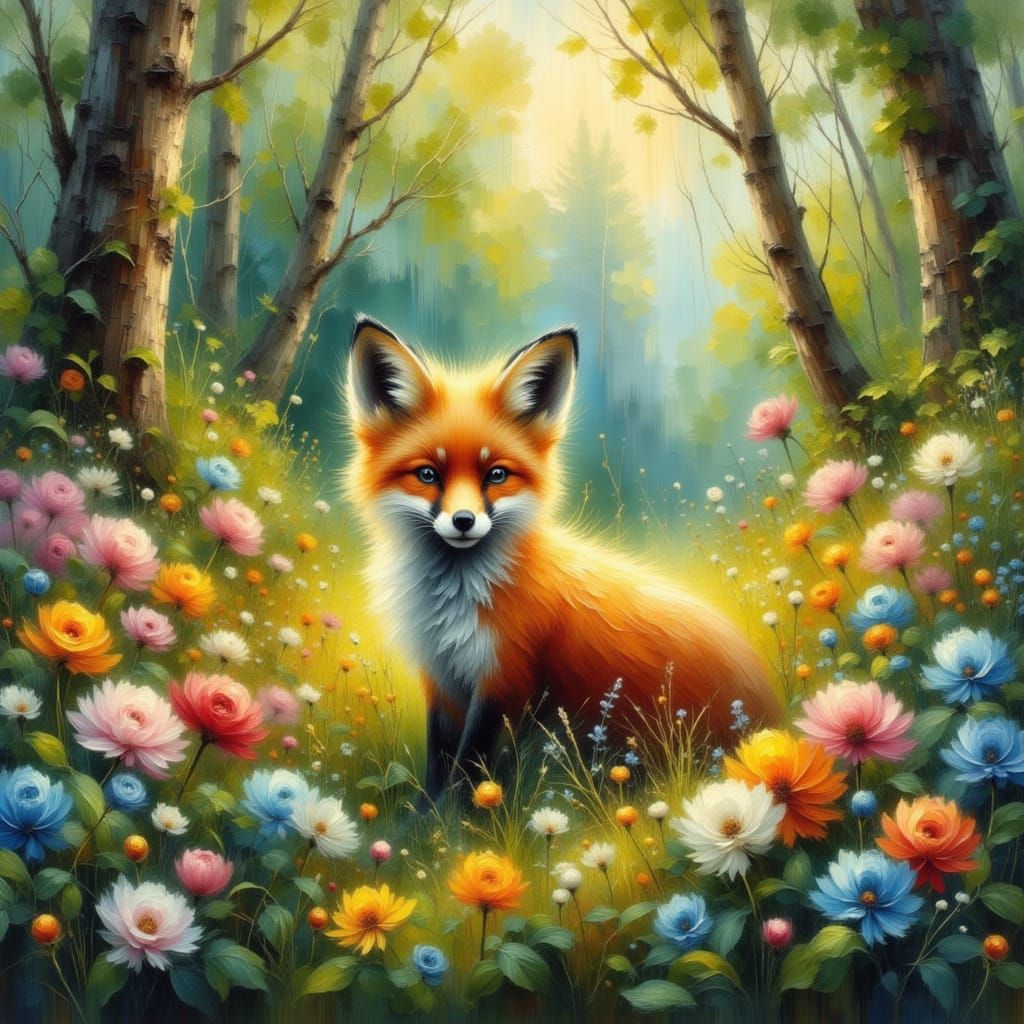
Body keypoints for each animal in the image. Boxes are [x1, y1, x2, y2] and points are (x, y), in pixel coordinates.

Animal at [345, 316, 780, 799]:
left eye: (496, 474)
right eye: (427, 474)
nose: (463, 521)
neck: (454, 602)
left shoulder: (505, 678)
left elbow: (468, 773)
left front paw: (455, 817)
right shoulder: (442, 679)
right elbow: (439, 767)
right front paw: (425, 817)